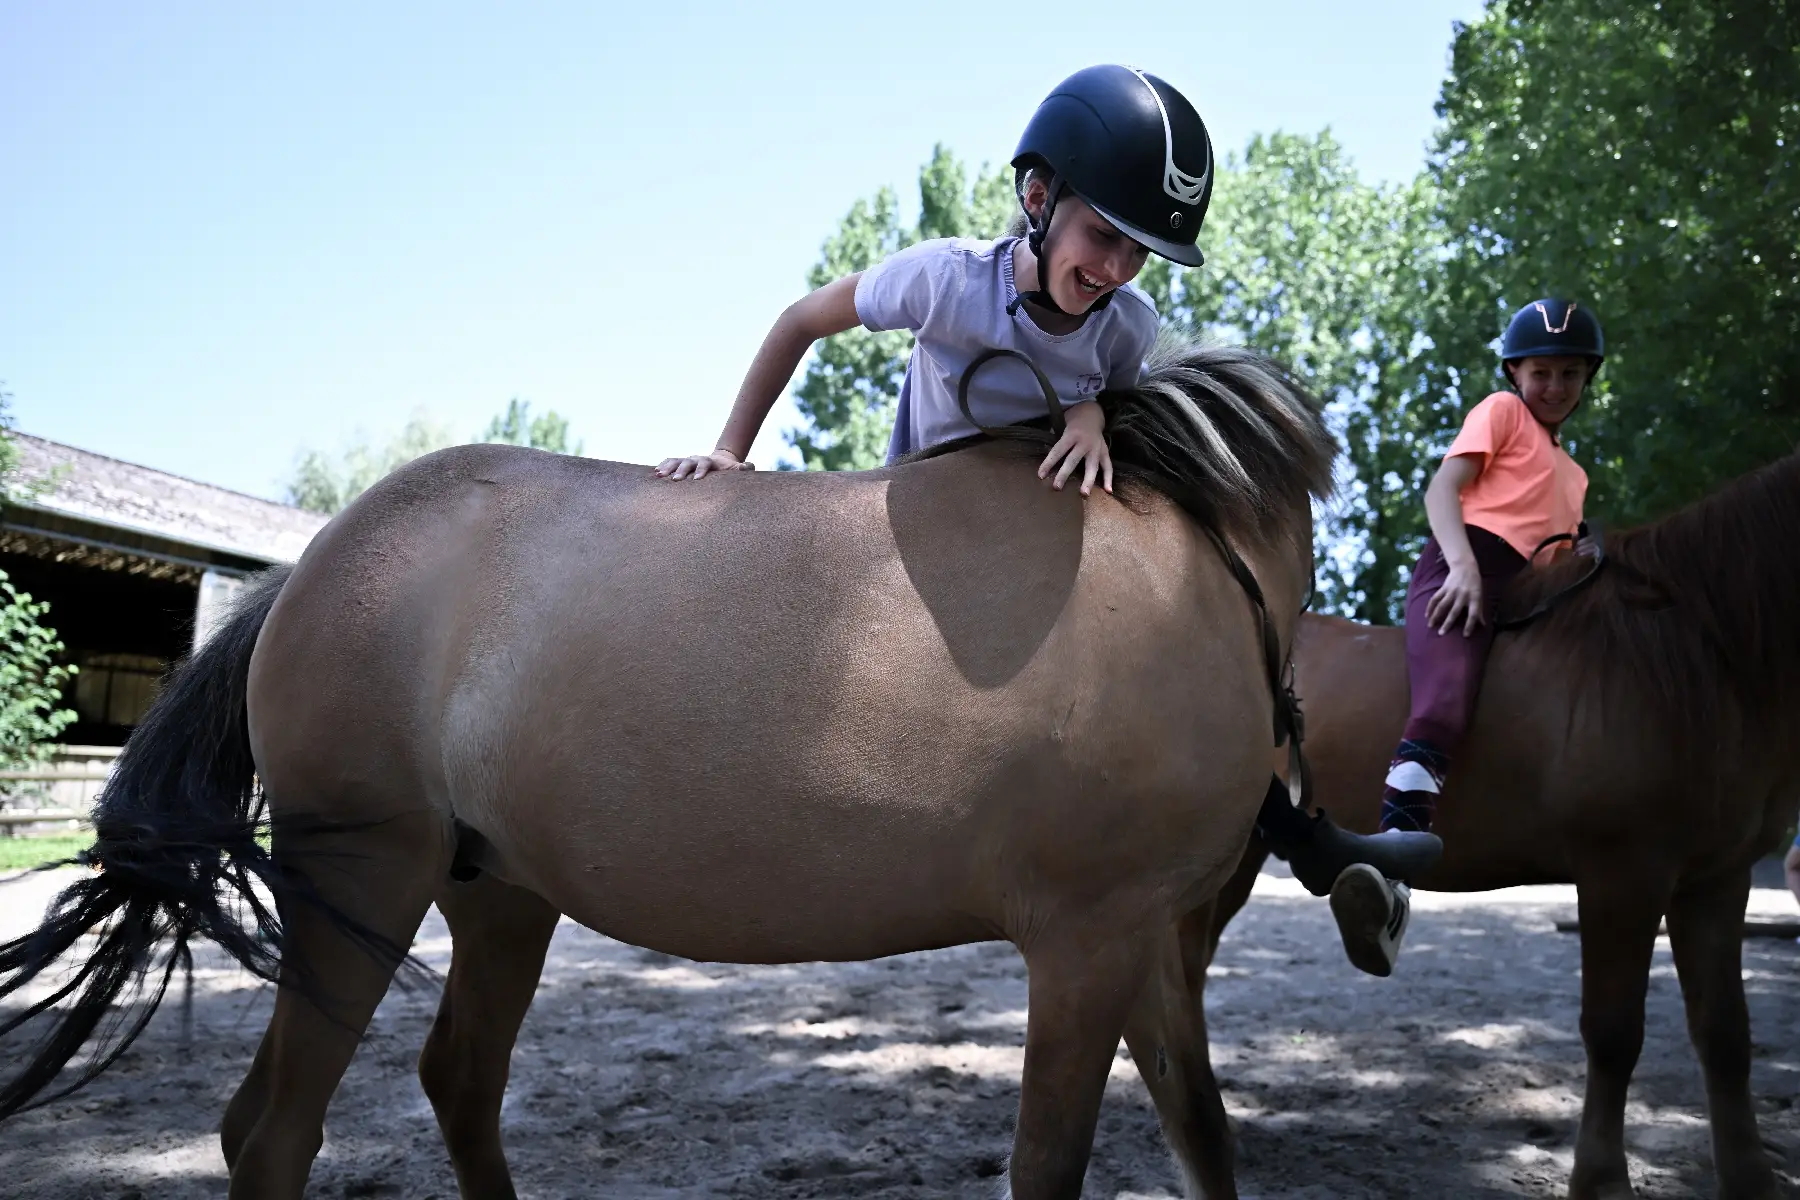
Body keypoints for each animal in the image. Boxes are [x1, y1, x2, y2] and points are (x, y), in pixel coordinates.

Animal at [0, 341, 1334, 1200]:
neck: (1194, 556)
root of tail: (305, 572)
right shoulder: (1088, 940)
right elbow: (1051, 1167)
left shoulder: (1149, 940)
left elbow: (1204, 1135)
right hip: (363, 881)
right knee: (272, 1134)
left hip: (496, 896)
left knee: (456, 1082)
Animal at [1124, 450, 1800, 1199]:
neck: (1686, 648)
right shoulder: (1623, 873)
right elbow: (1614, 1033)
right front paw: (1600, 1181)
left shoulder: (1717, 878)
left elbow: (1725, 1033)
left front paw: (1751, 1179)